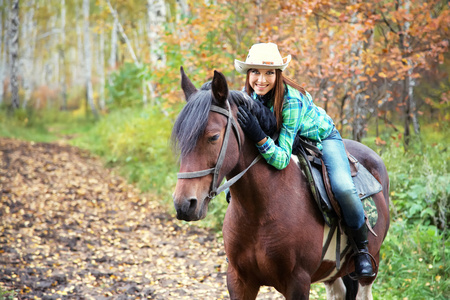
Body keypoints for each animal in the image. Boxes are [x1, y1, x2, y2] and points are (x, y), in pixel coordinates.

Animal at [172, 68, 390, 300]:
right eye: (181, 139)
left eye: (213, 137)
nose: (184, 204)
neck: (260, 211)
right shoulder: (239, 280)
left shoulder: (298, 282)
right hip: (331, 273)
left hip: (369, 269)